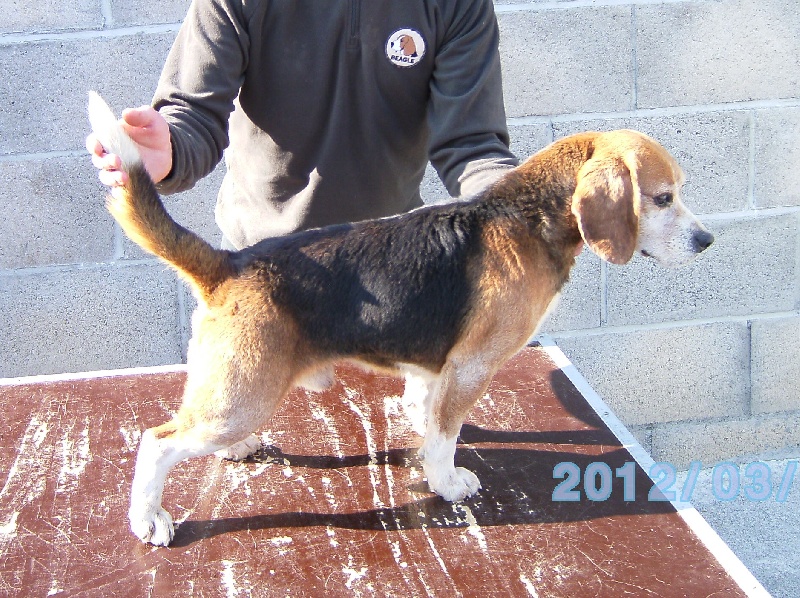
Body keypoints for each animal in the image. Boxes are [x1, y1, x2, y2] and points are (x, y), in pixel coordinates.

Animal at [88, 92, 713, 546]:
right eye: (663, 198)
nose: (707, 241)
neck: (528, 214)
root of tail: (230, 264)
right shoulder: (472, 366)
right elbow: (444, 437)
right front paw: (447, 482)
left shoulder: (439, 368)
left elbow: (427, 412)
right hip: (238, 398)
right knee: (157, 442)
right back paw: (148, 517)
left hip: (232, 396)